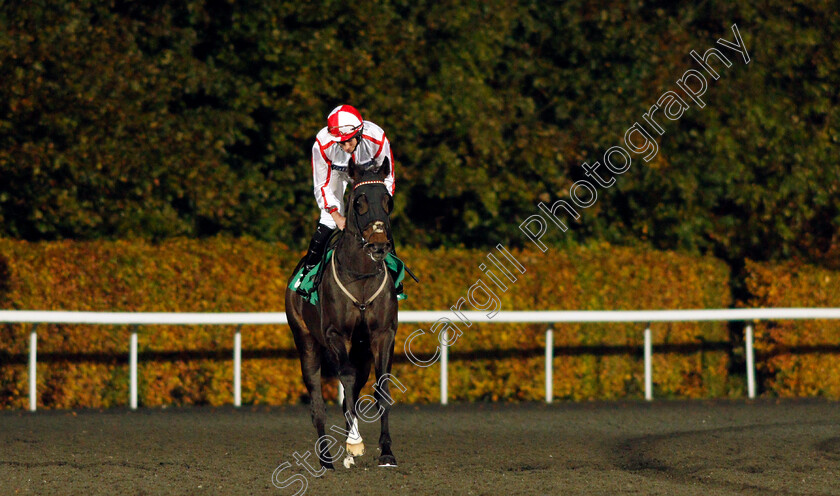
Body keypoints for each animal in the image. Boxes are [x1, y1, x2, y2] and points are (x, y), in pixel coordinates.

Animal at [284, 160, 398, 468]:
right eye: (358, 202)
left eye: (388, 201)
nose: (379, 245)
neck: (361, 278)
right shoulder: (335, 334)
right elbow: (345, 378)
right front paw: (355, 443)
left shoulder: (383, 335)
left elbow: (381, 389)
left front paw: (386, 451)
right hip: (306, 341)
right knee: (317, 401)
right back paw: (326, 458)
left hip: (362, 351)